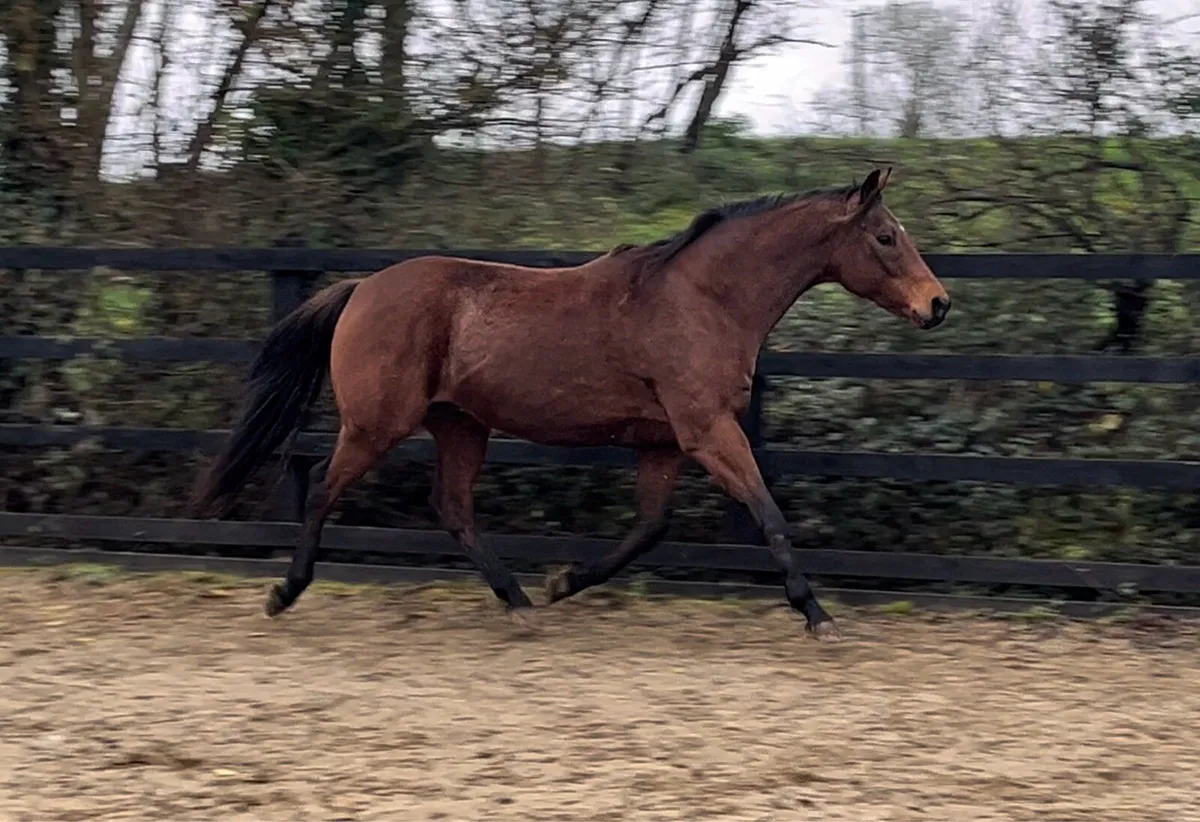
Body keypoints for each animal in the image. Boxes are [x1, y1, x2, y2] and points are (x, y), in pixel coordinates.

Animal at [193, 166, 950, 641]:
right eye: (886, 237)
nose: (937, 305)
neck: (703, 299)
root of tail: (362, 288)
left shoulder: (663, 443)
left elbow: (649, 529)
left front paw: (564, 582)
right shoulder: (707, 430)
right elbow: (769, 515)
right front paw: (818, 615)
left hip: (460, 425)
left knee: (452, 508)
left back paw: (522, 603)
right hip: (379, 423)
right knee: (324, 486)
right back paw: (284, 592)